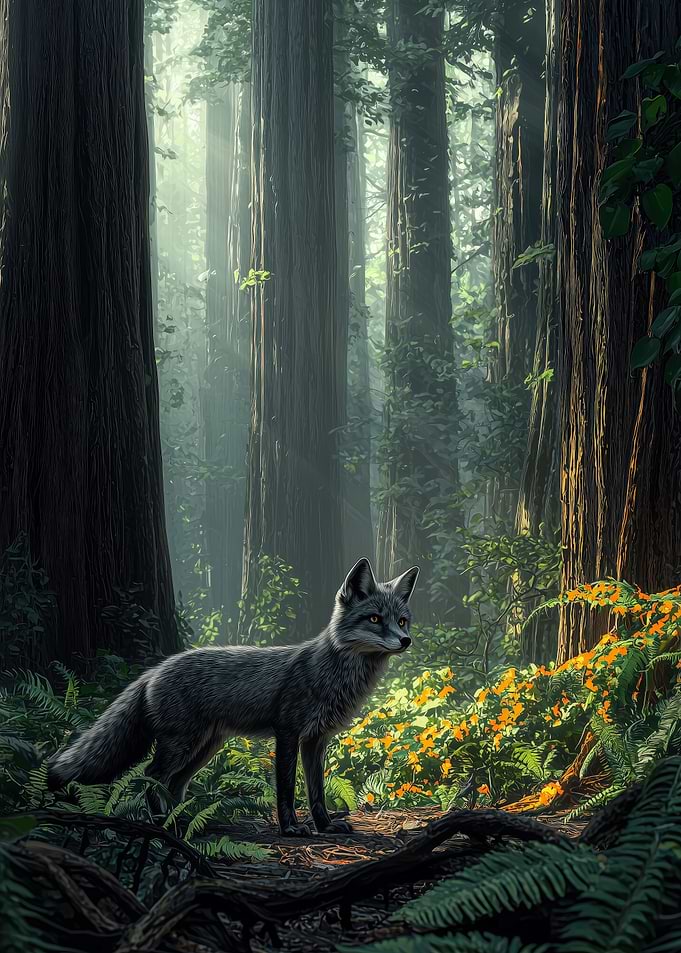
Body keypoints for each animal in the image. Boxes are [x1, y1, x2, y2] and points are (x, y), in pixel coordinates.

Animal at [47, 557, 419, 836]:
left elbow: (317, 790)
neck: (330, 673)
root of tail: (155, 668)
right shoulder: (287, 733)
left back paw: (180, 821)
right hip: (182, 744)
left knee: (174, 785)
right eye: (374, 618)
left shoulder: (316, 739)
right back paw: (162, 825)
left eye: (402, 621)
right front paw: (290, 829)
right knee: (152, 776)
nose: (405, 641)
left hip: (204, 748)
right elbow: (286, 787)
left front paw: (325, 826)